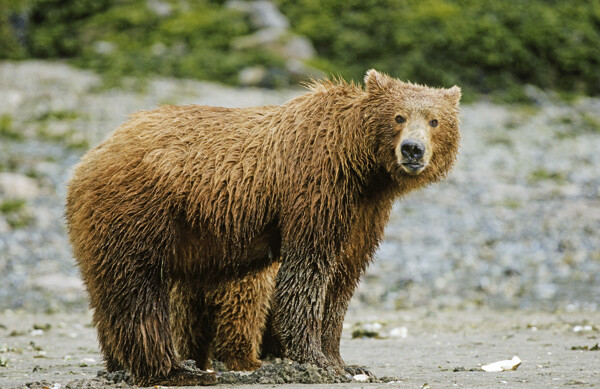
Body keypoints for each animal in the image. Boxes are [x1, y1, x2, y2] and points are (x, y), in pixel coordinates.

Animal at [64, 69, 460, 384]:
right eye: (398, 116)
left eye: (435, 120)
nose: (412, 150)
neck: (360, 165)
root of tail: (89, 159)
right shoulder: (316, 187)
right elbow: (307, 271)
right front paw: (314, 361)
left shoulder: (364, 211)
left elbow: (341, 281)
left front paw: (344, 362)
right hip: (140, 212)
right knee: (140, 292)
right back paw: (176, 370)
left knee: (109, 294)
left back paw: (121, 366)